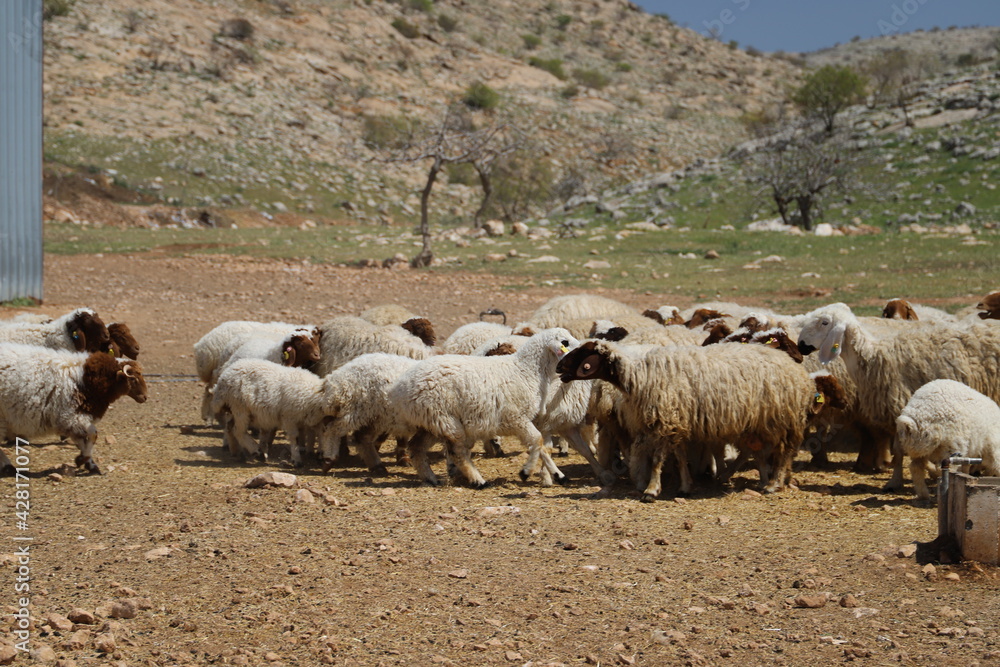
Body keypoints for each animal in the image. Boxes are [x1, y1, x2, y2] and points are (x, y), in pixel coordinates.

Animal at [0, 344, 146, 474]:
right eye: (133, 379)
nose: (145, 397)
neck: (86, 380)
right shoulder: (71, 416)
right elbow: (93, 435)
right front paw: (83, 460)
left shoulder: (71, 421)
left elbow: (82, 440)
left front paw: (88, 463)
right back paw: (8, 466)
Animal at [390, 330, 580, 490]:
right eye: (565, 342)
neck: (526, 370)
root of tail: (400, 388)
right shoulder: (516, 418)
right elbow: (537, 441)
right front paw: (526, 472)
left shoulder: (523, 419)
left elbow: (542, 447)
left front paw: (559, 475)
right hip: (445, 419)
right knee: (458, 453)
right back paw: (478, 481)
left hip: (431, 422)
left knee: (417, 448)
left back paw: (431, 478)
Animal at [560, 340, 816, 500]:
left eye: (583, 353)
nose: (559, 366)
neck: (639, 376)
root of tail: (799, 372)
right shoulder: (677, 421)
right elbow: (680, 457)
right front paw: (684, 487)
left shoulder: (665, 420)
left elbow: (657, 459)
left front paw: (651, 491)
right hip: (763, 423)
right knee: (766, 452)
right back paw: (771, 480)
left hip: (781, 419)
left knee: (784, 452)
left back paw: (773, 484)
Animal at [800, 302, 1000, 490]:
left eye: (824, 322)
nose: (801, 344)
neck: (873, 359)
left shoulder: (899, 407)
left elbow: (899, 450)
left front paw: (896, 480)